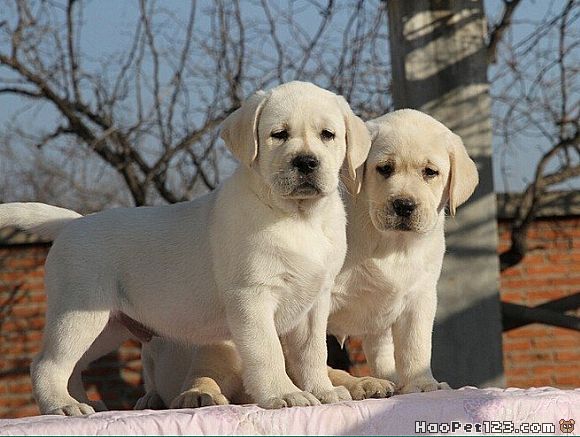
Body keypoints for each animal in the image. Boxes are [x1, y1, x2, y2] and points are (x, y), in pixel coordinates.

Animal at [0, 81, 371, 415]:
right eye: (278, 134)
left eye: (328, 135)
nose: (306, 162)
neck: (299, 217)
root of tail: (72, 223)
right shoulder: (252, 296)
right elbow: (268, 352)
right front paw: (285, 394)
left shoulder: (315, 303)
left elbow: (313, 353)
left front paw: (323, 391)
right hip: (78, 312)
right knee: (46, 363)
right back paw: (61, 406)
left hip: (107, 325)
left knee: (73, 365)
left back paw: (82, 401)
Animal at [135, 109, 479, 408]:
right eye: (384, 169)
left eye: (430, 173)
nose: (404, 205)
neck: (388, 241)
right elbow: (312, 354)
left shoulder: (420, 295)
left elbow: (415, 345)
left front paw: (422, 384)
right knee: (202, 371)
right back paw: (194, 394)